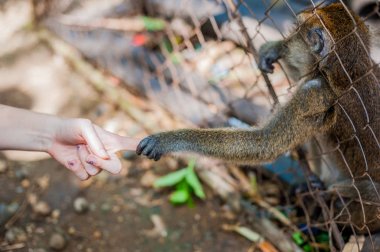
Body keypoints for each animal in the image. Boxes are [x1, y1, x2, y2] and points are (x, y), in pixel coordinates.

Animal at [138, 2, 380, 235]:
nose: (290, 39)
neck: (351, 72)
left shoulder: (313, 92)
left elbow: (265, 144)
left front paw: (169, 141)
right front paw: (277, 48)